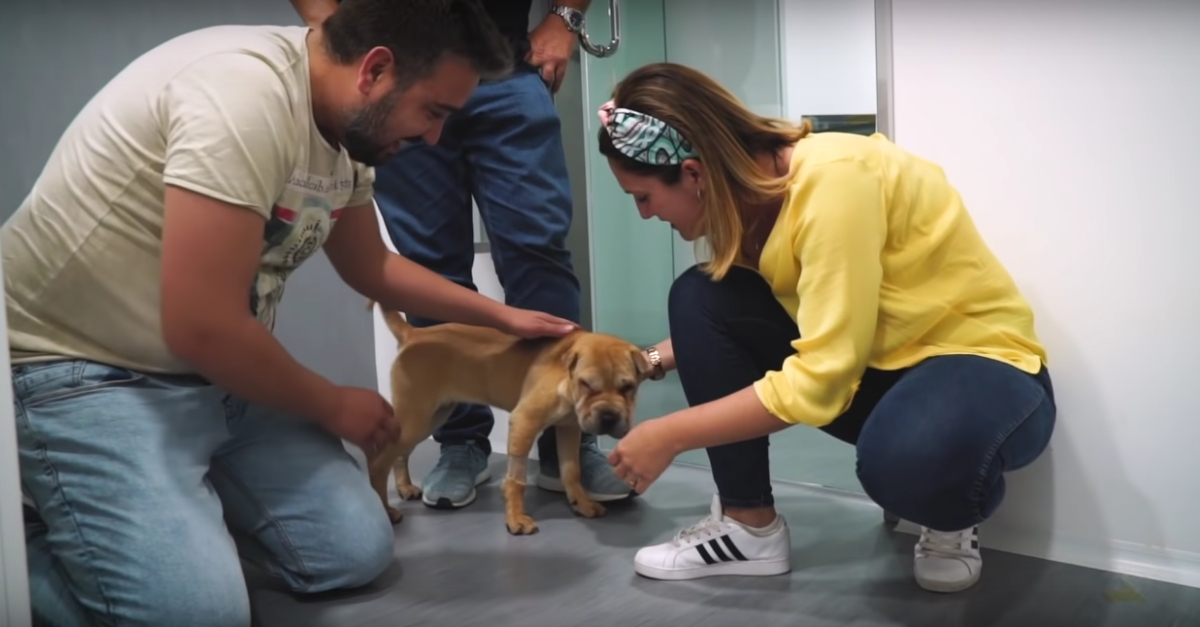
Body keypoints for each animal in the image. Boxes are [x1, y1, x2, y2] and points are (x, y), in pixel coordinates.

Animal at [368, 302, 650, 535]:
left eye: (628, 387)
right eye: (587, 385)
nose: (609, 416)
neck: (566, 378)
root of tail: (414, 334)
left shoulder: (569, 428)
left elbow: (571, 471)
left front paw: (581, 503)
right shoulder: (524, 422)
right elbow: (516, 480)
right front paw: (515, 519)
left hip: (430, 416)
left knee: (400, 454)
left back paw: (405, 488)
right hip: (416, 416)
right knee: (379, 461)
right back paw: (385, 509)